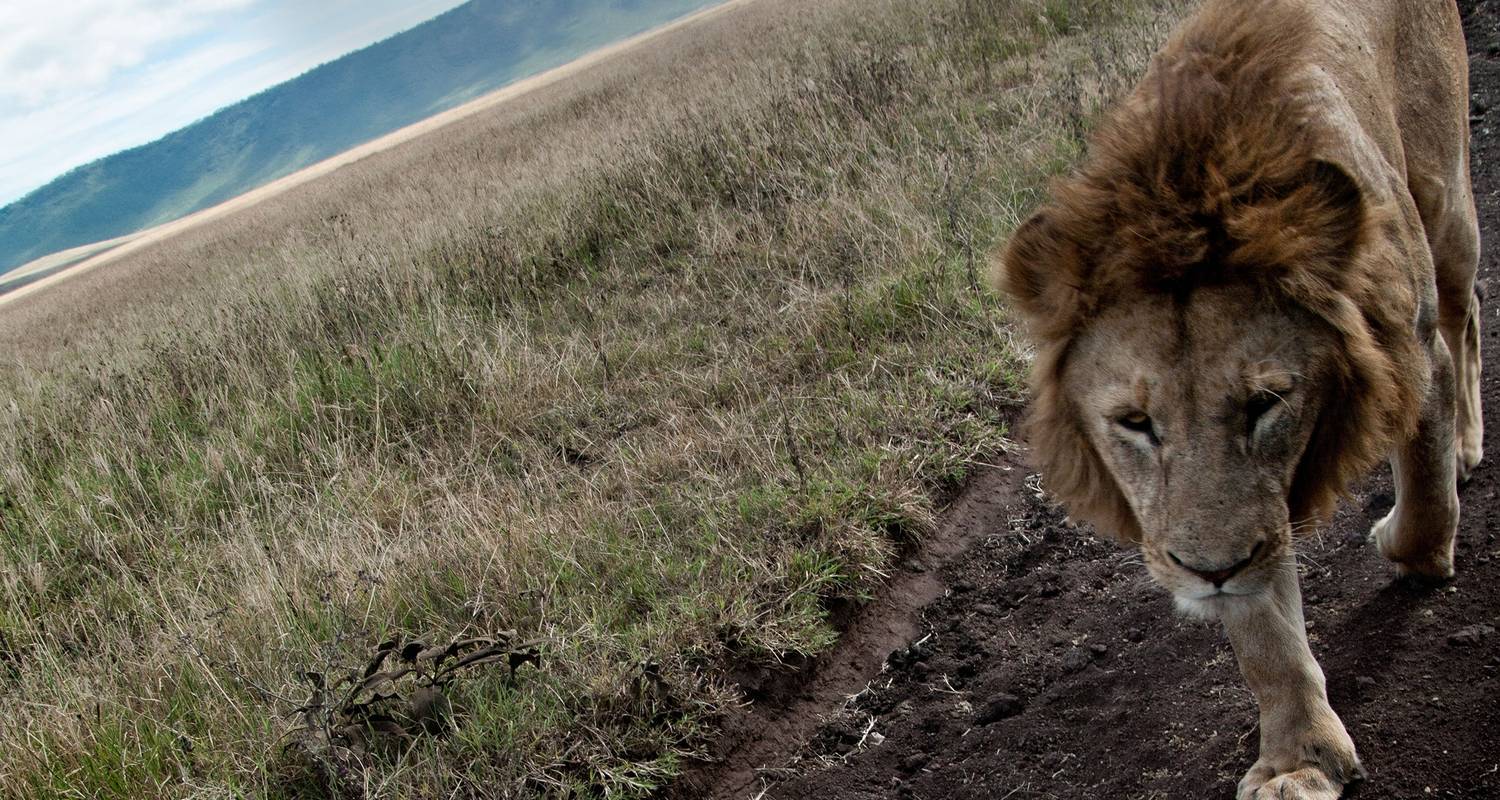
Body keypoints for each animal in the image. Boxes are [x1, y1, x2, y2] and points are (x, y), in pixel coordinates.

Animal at [996, 1, 1476, 798]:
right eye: (1135, 423)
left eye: (1266, 403)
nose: (1209, 572)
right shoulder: (1242, 516)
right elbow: (1264, 640)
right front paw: (1299, 760)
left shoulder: (1413, 349)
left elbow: (1426, 494)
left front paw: (1412, 547)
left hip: (1447, 198)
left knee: (1472, 312)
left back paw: (1469, 445)